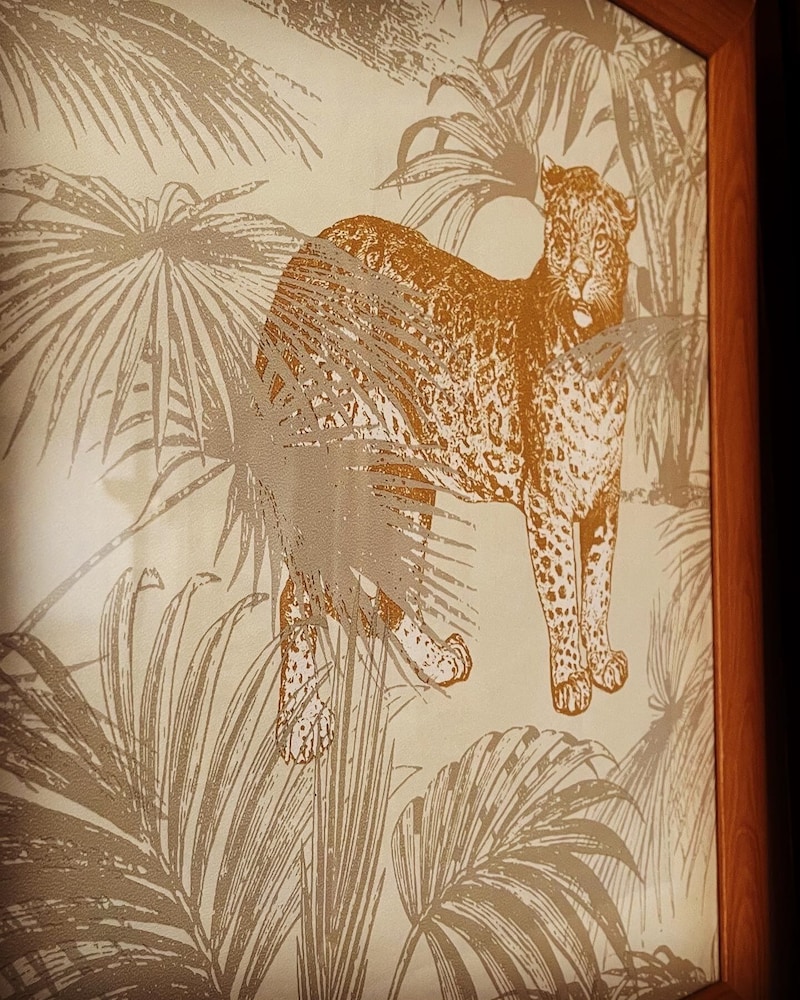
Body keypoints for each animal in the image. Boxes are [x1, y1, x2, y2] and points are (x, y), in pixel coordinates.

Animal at [258, 156, 637, 763]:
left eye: (601, 241)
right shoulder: (547, 504)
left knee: (388, 590)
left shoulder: (602, 498)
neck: (592, 353)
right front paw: (571, 681)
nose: (579, 276)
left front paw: (600, 663)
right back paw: (301, 721)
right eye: (559, 237)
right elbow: (563, 597)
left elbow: (598, 588)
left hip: (403, 484)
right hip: (322, 468)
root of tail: (310, 250)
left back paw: (437, 661)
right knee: (300, 592)